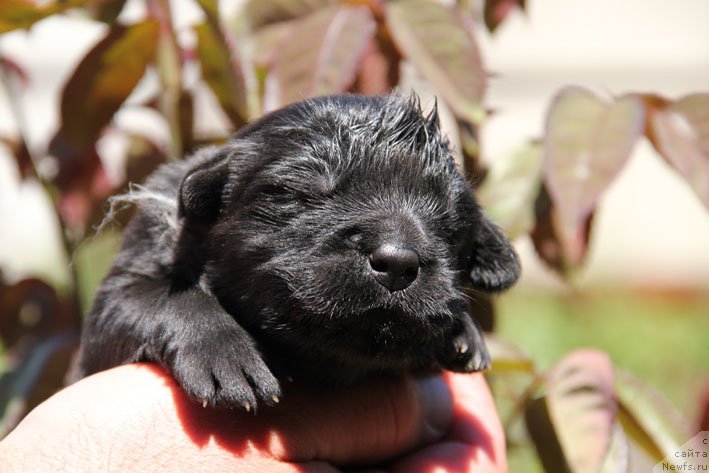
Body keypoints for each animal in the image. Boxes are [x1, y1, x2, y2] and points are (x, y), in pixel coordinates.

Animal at [79, 93, 520, 410]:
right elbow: (161, 296)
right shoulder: (116, 300)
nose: (398, 262)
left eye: (451, 223)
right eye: (300, 195)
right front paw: (224, 355)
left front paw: (464, 331)